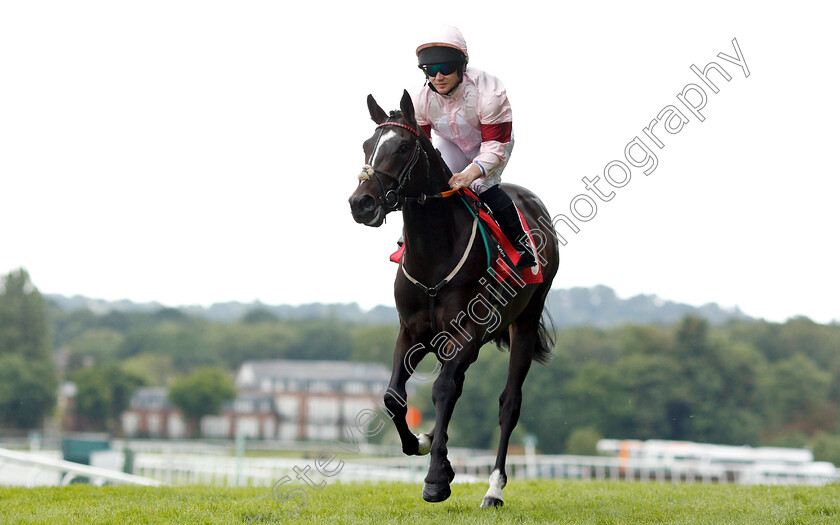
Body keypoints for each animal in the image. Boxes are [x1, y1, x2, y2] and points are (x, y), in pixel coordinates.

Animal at [348, 90, 556, 508]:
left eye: (404, 147)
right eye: (366, 145)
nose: (361, 203)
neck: (433, 253)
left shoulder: (467, 332)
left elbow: (443, 390)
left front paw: (435, 480)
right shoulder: (412, 332)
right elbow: (394, 397)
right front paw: (424, 443)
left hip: (526, 321)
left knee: (508, 404)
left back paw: (493, 489)